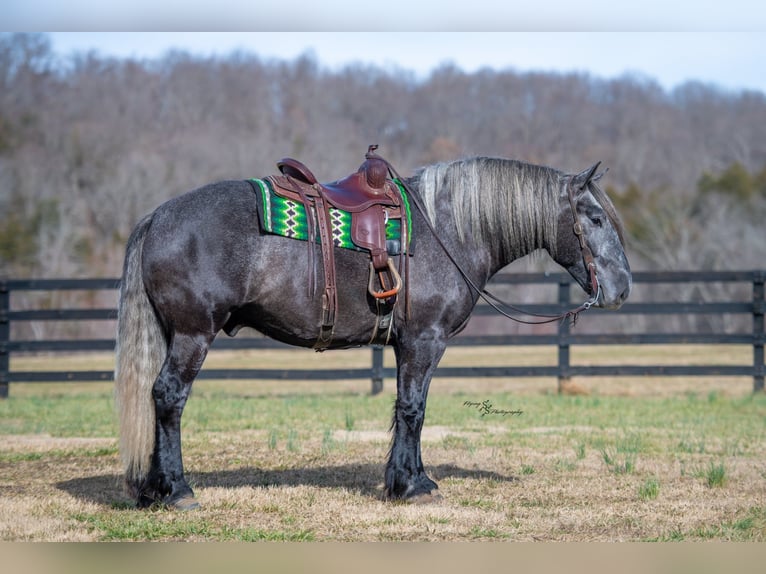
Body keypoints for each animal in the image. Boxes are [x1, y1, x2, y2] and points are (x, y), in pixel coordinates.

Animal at [114, 154, 632, 509]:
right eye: (595, 219)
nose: (623, 288)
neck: (449, 230)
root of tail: (158, 216)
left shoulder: (408, 345)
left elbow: (409, 409)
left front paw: (408, 478)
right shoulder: (424, 340)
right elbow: (413, 410)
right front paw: (413, 486)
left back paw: (152, 489)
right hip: (193, 335)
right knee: (169, 397)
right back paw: (177, 490)